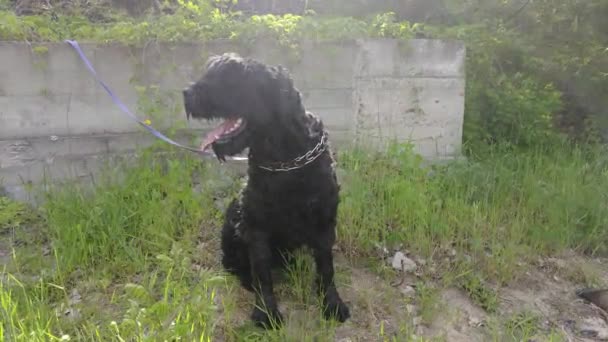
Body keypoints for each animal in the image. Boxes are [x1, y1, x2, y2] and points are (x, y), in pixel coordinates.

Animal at [183, 53, 350, 328]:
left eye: (229, 77)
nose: (186, 93)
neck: (284, 160)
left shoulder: (324, 221)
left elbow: (327, 267)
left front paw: (332, 303)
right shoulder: (257, 227)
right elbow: (262, 272)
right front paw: (266, 312)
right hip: (234, 217)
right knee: (234, 263)